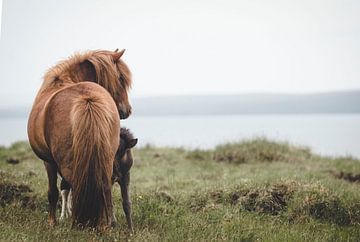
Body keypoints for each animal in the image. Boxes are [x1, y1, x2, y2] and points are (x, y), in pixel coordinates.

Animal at [27, 49, 132, 229]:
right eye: (120, 78)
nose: (128, 110)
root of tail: (87, 99)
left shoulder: (48, 161)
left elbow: (53, 192)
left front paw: (52, 222)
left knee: (74, 186)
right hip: (106, 158)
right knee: (104, 188)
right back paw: (105, 224)